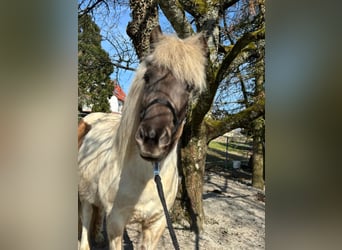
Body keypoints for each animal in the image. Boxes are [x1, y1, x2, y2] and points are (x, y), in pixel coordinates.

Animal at [78, 26, 206, 249]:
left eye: (190, 87)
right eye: (147, 77)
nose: (152, 139)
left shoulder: (156, 224)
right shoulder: (116, 222)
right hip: (85, 194)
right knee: (85, 222)